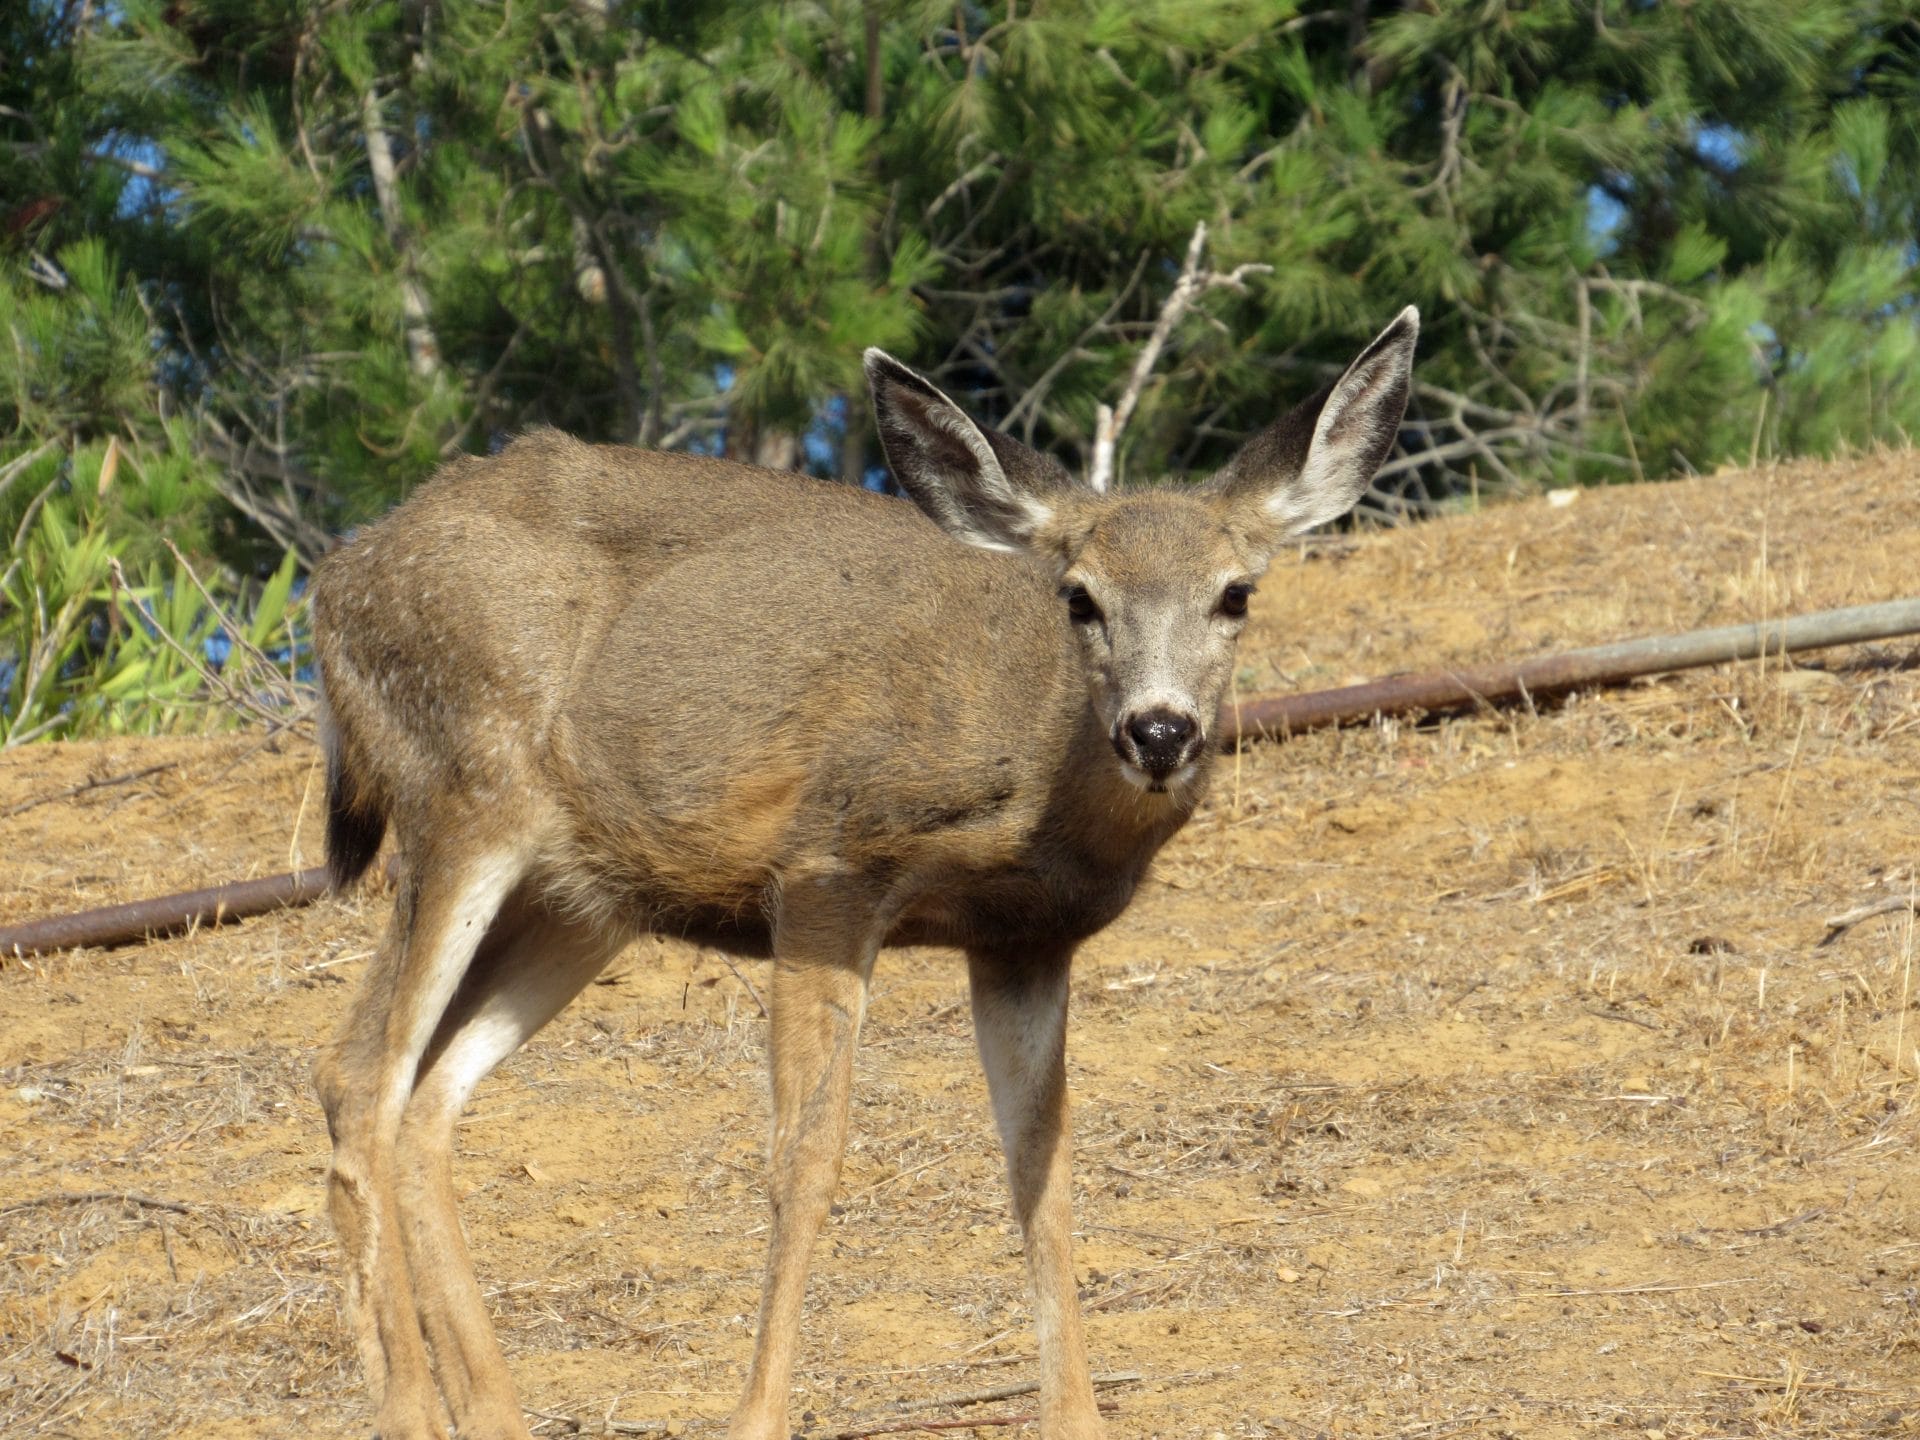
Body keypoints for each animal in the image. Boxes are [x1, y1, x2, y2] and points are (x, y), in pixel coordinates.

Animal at [308, 306, 1418, 1440]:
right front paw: (755, 1418)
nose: (1158, 730)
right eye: (1080, 599)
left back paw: (490, 1407)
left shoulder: (1024, 939)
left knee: (428, 1097)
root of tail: (335, 582)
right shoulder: (826, 867)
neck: (1036, 789)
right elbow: (806, 1159)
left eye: (1235, 594)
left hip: (580, 897)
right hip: (464, 786)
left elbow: (1044, 1172)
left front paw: (1077, 1416)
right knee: (359, 1074)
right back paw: (406, 1406)